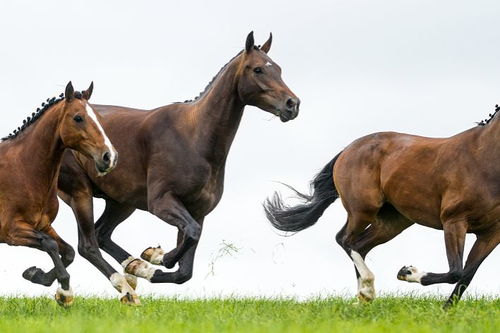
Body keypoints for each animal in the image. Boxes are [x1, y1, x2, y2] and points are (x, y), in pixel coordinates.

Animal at [0, 81, 118, 304]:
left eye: (98, 117)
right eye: (78, 118)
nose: (109, 157)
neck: (23, 170)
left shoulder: (44, 225)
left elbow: (68, 251)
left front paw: (36, 275)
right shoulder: (11, 230)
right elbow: (50, 244)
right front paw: (64, 290)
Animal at [58, 32, 300, 300]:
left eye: (278, 68)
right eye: (258, 69)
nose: (292, 104)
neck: (194, 138)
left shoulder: (197, 211)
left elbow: (185, 269)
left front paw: (150, 262)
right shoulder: (163, 202)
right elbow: (190, 238)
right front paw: (160, 257)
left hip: (121, 203)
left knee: (101, 235)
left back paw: (134, 268)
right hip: (81, 193)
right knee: (88, 245)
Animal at [264, 106, 498, 306]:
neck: (482, 158)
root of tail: (348, 149)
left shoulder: (491, 234)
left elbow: (466, 274)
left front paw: (446, 311)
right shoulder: (454, 221)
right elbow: (456, 271)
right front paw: (407, 272)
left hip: (392, 222)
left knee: (360, 245)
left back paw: (363, 299)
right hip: (363, 210)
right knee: (345, 239)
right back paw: (367, 290)